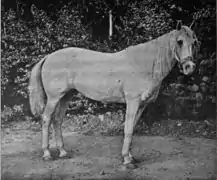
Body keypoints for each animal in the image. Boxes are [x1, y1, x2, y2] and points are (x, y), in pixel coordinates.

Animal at [28, 21, 200, 170]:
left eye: (194, 42)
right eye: (179, 41)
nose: (189, 67)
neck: (144, 64)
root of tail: (48, 57)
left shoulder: (141, 105)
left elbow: (132, 128)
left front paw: (131, 157)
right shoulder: (132, 102)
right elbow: (128, 129)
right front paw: (127, 161)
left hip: (66, 96)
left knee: (57, 121)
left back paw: (63, 152)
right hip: (54, 98)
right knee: (46, 119)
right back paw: (47, 154)